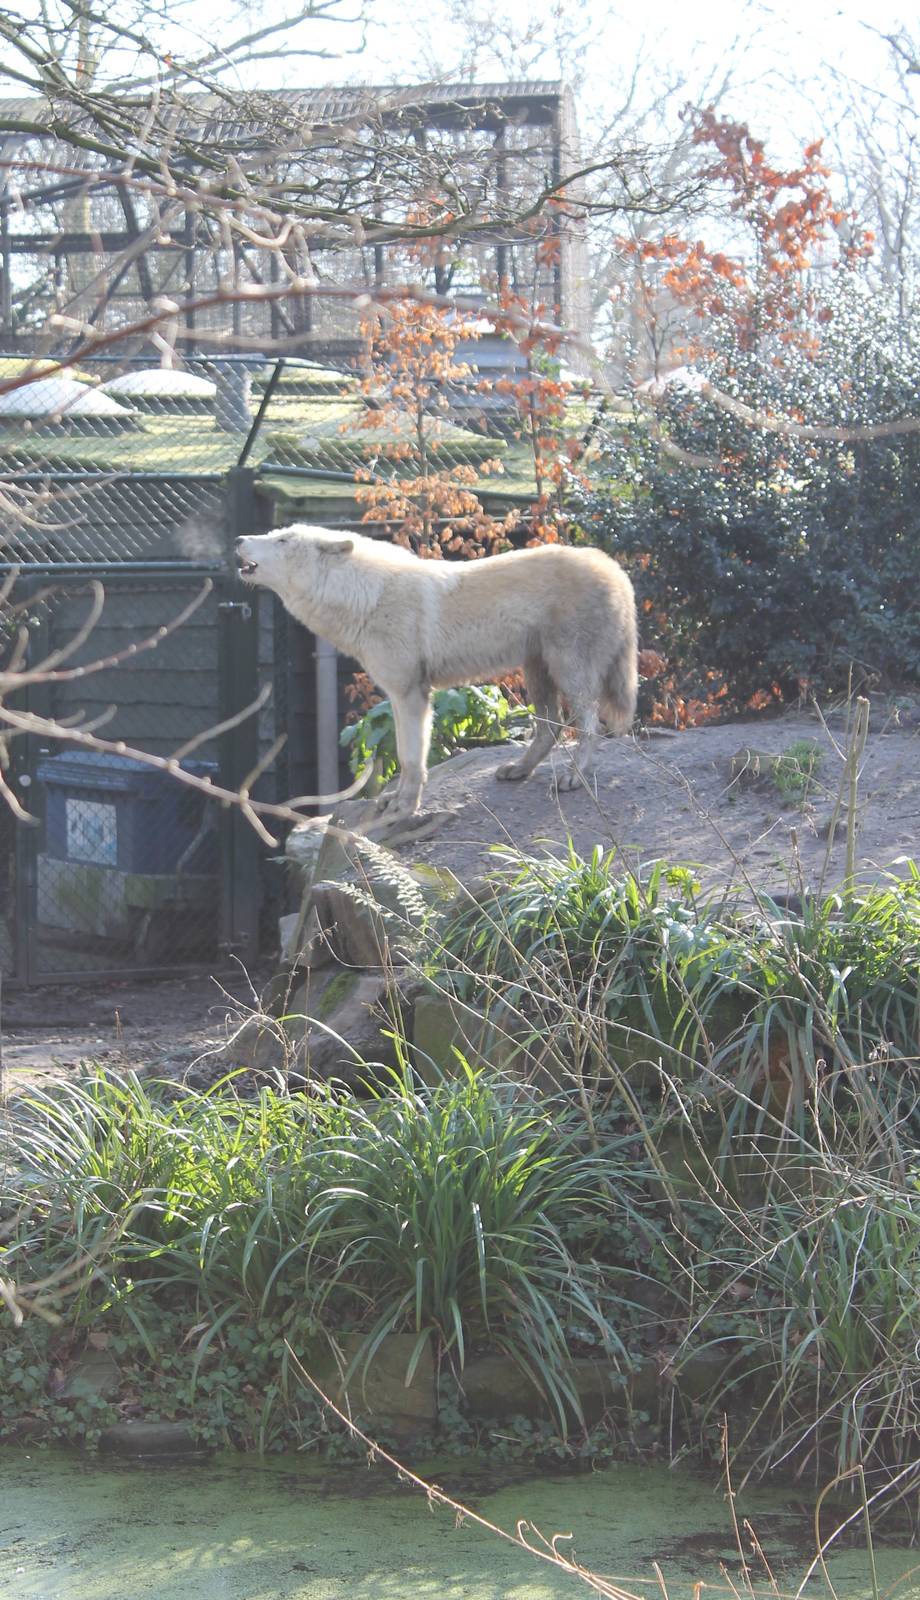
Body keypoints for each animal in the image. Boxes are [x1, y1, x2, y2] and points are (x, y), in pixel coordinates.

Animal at [236, 524, 638, 816]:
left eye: (282, 540)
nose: (238, 539)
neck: (365, 596)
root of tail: (615, 568)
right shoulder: (399, 696)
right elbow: (404, 754)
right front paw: (396, 799)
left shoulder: (412, 694)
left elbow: (412, 758)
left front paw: (405, 806)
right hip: (537, 670)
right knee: (550, 727)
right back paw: (519, 769)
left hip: (568, 670)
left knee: (588, 725)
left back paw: (575, 776)